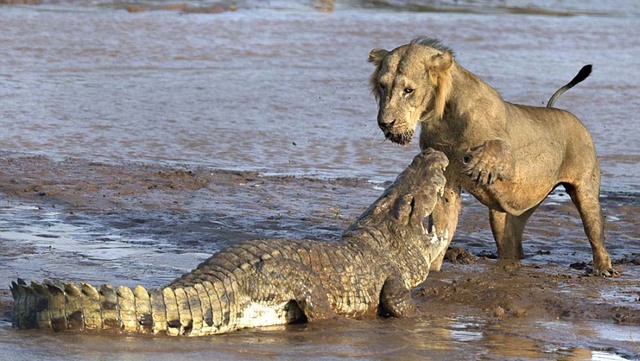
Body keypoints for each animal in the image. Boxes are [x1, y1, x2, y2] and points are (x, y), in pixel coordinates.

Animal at [370, 38, 616, 276]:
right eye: (382, 86)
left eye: (408, 90)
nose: (385, 123)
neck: (444, 117)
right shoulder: (446, 177)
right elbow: (442, 224)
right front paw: (432, 268)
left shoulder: (514, 162)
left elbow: (498, 146)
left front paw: (479, 165)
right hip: (508, 216)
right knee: (510, 243)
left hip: (585, 191)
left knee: (594, 229)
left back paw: (603, 268)